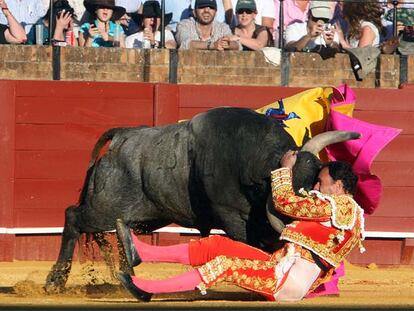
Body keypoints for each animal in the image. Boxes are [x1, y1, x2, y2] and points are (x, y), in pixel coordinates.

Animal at [44, 106, 360, 292]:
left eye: (316, 180)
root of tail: (122, 136)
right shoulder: (233, 217)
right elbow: (253, 245)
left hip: (141, 214)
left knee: (105, 230)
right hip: (104, 208)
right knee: (73, 216)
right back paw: (56, 281)